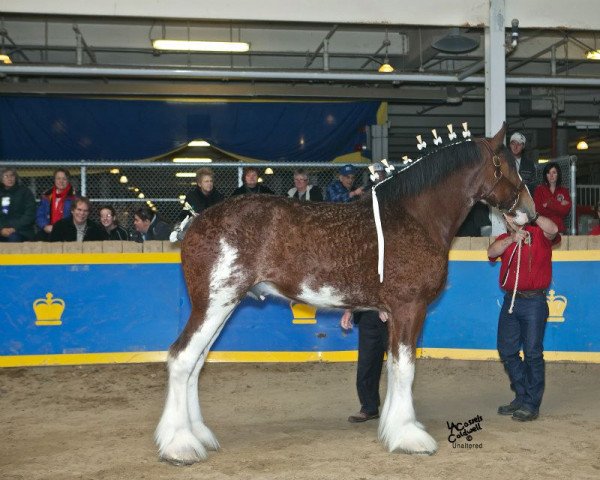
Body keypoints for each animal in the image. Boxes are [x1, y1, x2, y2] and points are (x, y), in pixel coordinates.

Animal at [155, 124, 536, 464]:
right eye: (508, 166)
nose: (531, 212)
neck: (414, 216)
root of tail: (196, 222)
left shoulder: (391, 313)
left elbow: (392, 367)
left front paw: (392, 429)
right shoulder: (409, 308)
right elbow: (405, 369)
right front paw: (409, 437)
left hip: (222, 305)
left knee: (196, 364)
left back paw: (198, 435)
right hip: (214, 304)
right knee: (182, 358)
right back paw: (180, 446)